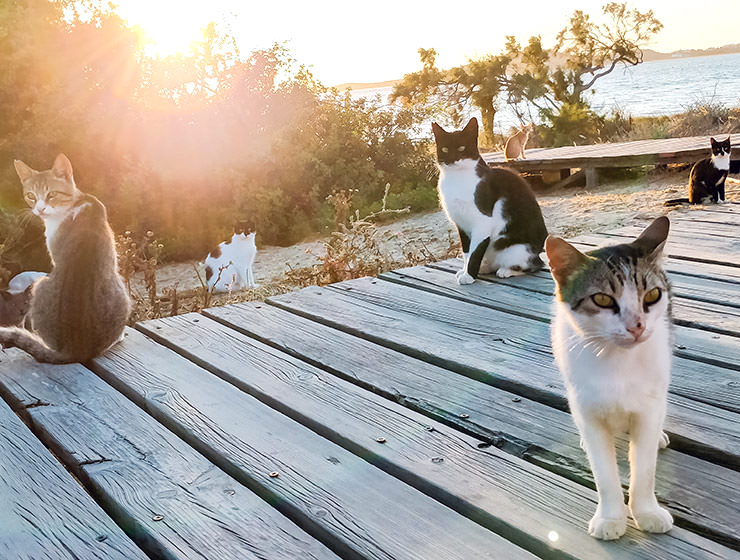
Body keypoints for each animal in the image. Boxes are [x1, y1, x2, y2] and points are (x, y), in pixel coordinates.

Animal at [0, 153, 130, 364]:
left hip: (43, 284)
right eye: (31, 196)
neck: (75, 203)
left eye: (52, 194)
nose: (40, 209)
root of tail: (75, 349)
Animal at [430, 117, 548, 284]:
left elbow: (475, 252)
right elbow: (466, 251)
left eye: (461, 148)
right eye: (445, 149)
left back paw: (506, 270)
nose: (452, 159)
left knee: (533, 266)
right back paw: (485, 268)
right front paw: (465, 271)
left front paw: (469, 275)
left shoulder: (482, 222)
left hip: (517, 250)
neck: (457, 178)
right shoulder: (461, 224)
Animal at [548, 217, 672, 540]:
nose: (636, 326)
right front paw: (610, 517)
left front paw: (647, 512)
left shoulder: (648, 407)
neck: (618, 363)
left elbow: (645, 469)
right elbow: (603, 473)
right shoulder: (587, 410)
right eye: (602, 299)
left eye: (652, 295)